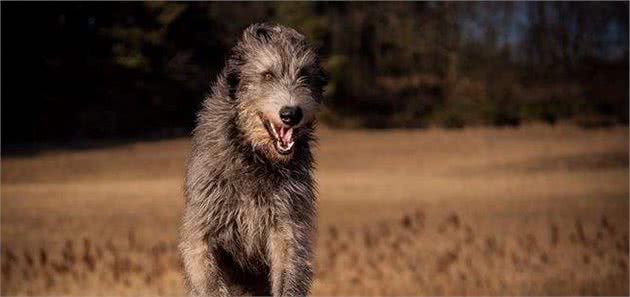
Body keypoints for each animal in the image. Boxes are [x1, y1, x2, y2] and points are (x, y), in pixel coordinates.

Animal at [178, 23, 326, 296]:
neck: (254, 156)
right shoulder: (202, 226)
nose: (291, 114)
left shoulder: (287, 223)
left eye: (304, 75)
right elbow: (204, 265)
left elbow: (289, 263)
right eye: (267, 75)